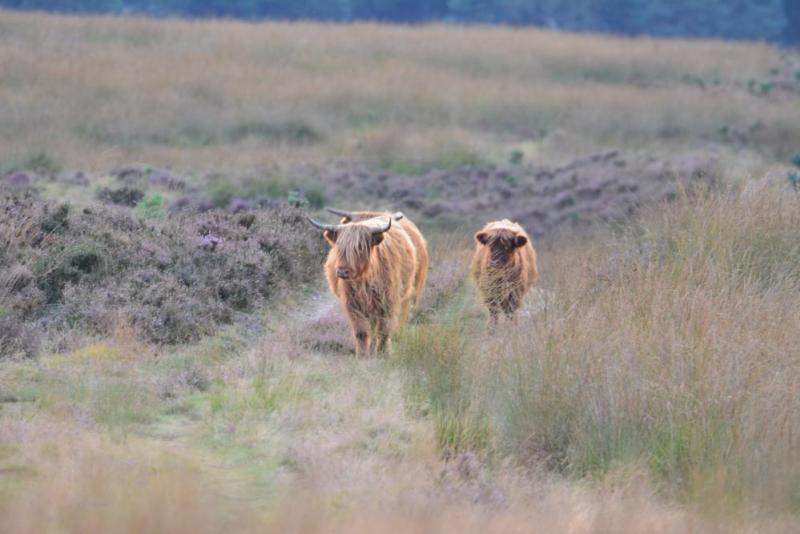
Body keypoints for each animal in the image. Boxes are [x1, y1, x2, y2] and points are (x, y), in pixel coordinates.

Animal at [310, 211, 428, 358]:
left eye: (360, 248)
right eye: (339, 248)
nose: (342, 272)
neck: (364, 280)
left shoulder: (388, 302)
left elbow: (384, 330)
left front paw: (383, 354)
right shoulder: (353, 306)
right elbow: (361, 332)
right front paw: (362, 356)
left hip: (408, 294)